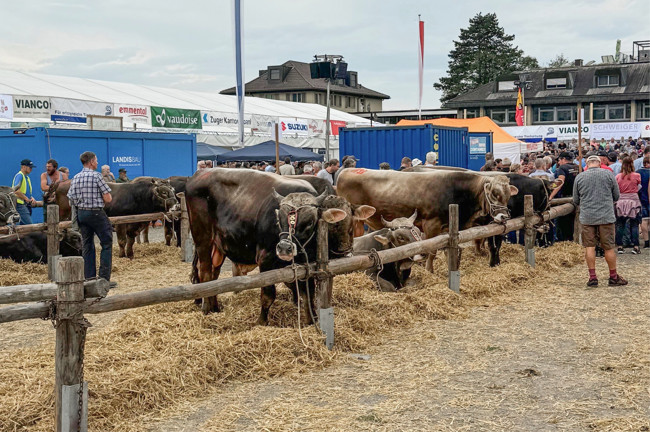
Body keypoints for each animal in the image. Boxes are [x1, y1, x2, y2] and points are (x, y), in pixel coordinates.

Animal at [184, 167, 364, 326]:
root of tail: (199, 174)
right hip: (203, 240)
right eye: (280, 219)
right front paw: (262, 322)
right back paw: (206, 309)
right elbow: (268, 294)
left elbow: (308, 293)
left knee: (213, 276)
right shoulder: (265, 260)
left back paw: (214, 307)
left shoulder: (308, 265)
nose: (284, 248)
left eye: (309, 222)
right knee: (205, 273)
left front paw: (311, 320)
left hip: (219, 245)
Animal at [334, 168, 516, 272]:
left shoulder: (451, 228)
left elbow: (452, 249)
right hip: (357, 222)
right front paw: (429, 270)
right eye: (494, 193)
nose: (504, 216)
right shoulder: (431, 225)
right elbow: (431, 250)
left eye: (508, 195)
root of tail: (347, 170)